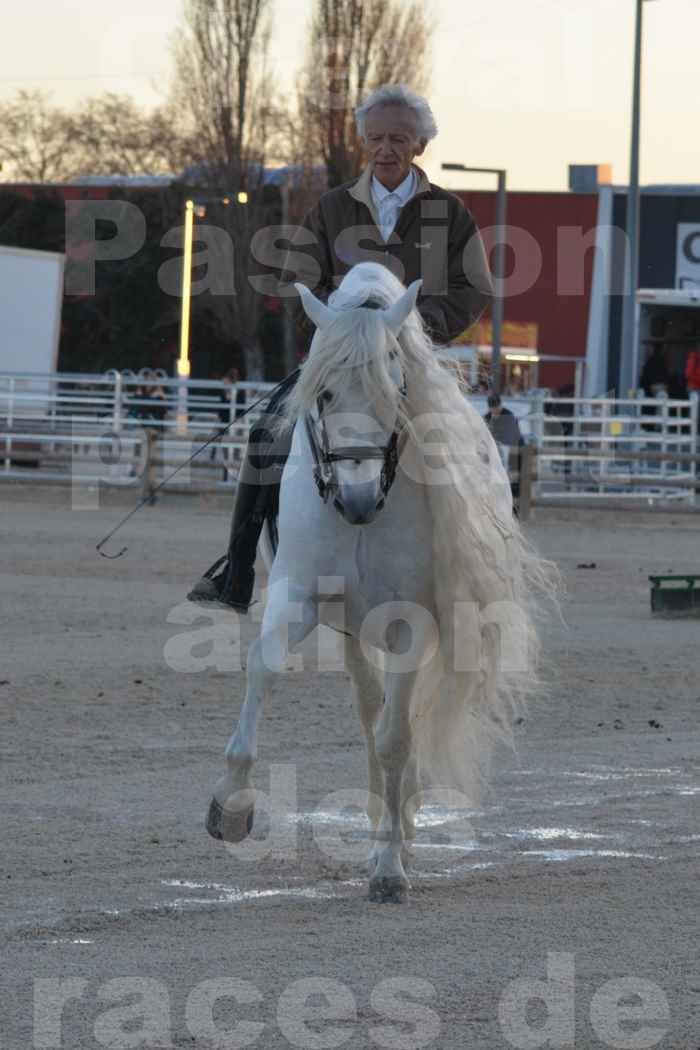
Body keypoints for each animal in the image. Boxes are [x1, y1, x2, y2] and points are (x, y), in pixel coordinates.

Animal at [205, 262, 554, 902]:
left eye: (396, 391)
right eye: (323, 393)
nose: (359, 500)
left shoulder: (410, 623)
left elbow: (397, 738)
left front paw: (390, 864)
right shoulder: (297, 597)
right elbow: (264, 670)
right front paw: (233, 807)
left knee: (396, 722)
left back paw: (400, 832)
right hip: (350, 626)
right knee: (371, 712)